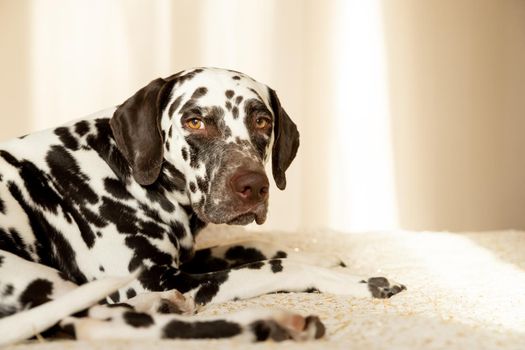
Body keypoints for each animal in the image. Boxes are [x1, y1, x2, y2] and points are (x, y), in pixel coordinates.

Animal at [0, 67, 406, 344]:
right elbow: (274, 266)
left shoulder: (184, 260)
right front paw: (356, 281)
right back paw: (270, 324)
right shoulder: (147, 278)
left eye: (262, 120)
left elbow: (249, 245)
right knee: (101, 326)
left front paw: (323, 257)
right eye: (195, 121)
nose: (253, 186)